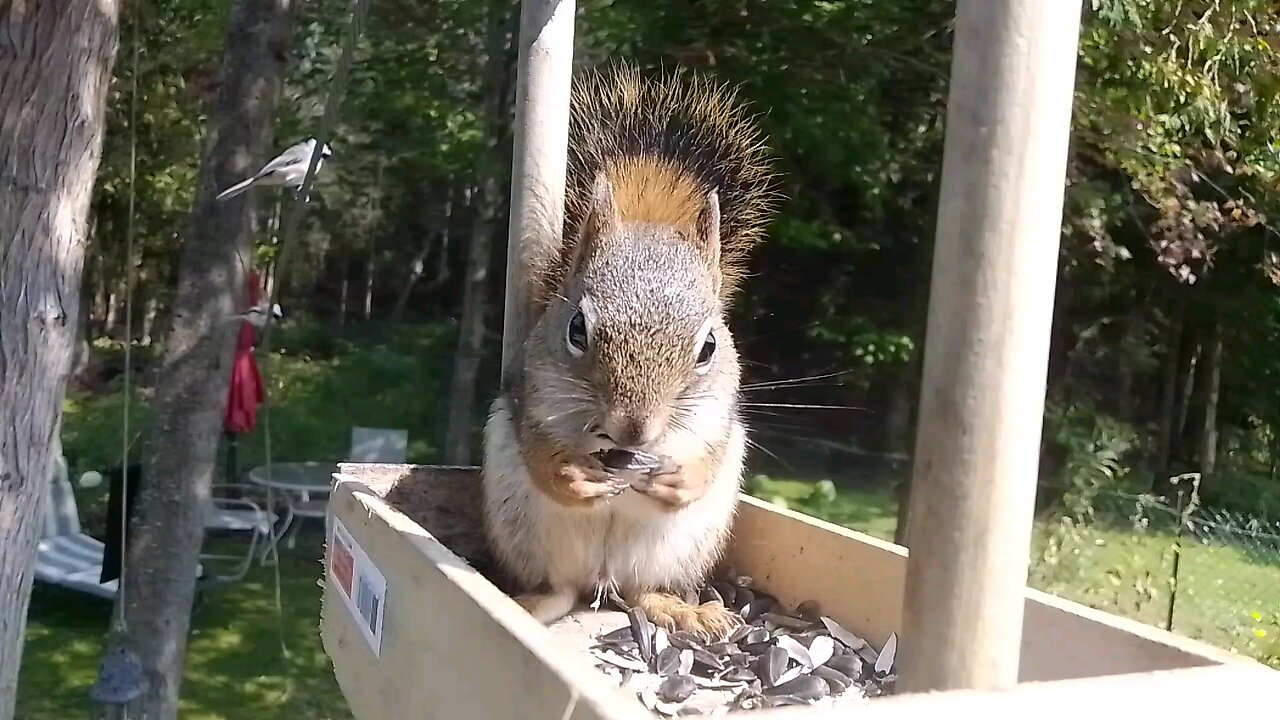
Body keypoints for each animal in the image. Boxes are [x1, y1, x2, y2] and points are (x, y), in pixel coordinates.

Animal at [481, 63, 773, 638]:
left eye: (709, 346)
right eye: (576, 328)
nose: (634, 431)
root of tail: (602, 580)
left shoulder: (717, 414)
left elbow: (707, 456)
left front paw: (679, 480)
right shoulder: (533, 397)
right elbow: (542, 454)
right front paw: (573, 478)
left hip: (679, 549)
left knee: (642, 593)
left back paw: (683, 609)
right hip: (521, 526)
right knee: (559, 589)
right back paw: (527, 604)